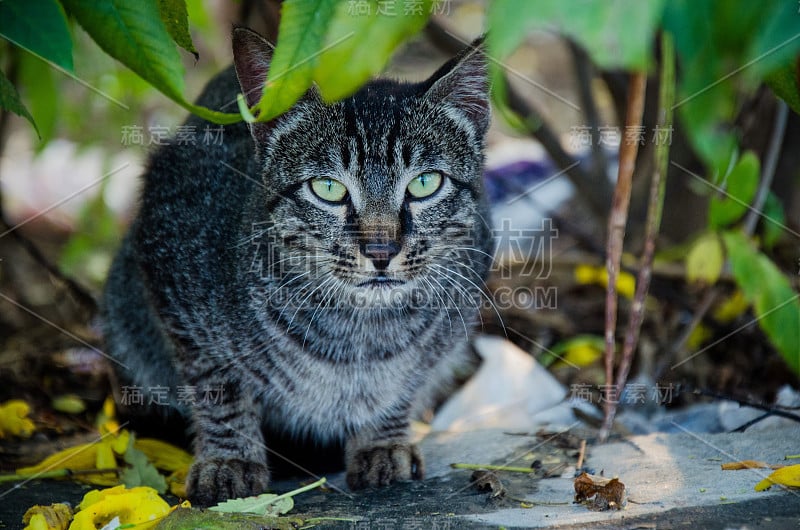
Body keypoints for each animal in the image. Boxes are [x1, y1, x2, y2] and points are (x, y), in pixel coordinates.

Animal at [103, 25, 490, 504]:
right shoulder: (171, 266)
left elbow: (404, 381)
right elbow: (218, 387)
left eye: (424, 183)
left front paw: (382, 439)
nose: (381, 249)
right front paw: (230, 459)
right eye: (327, 188)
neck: (357, 332)